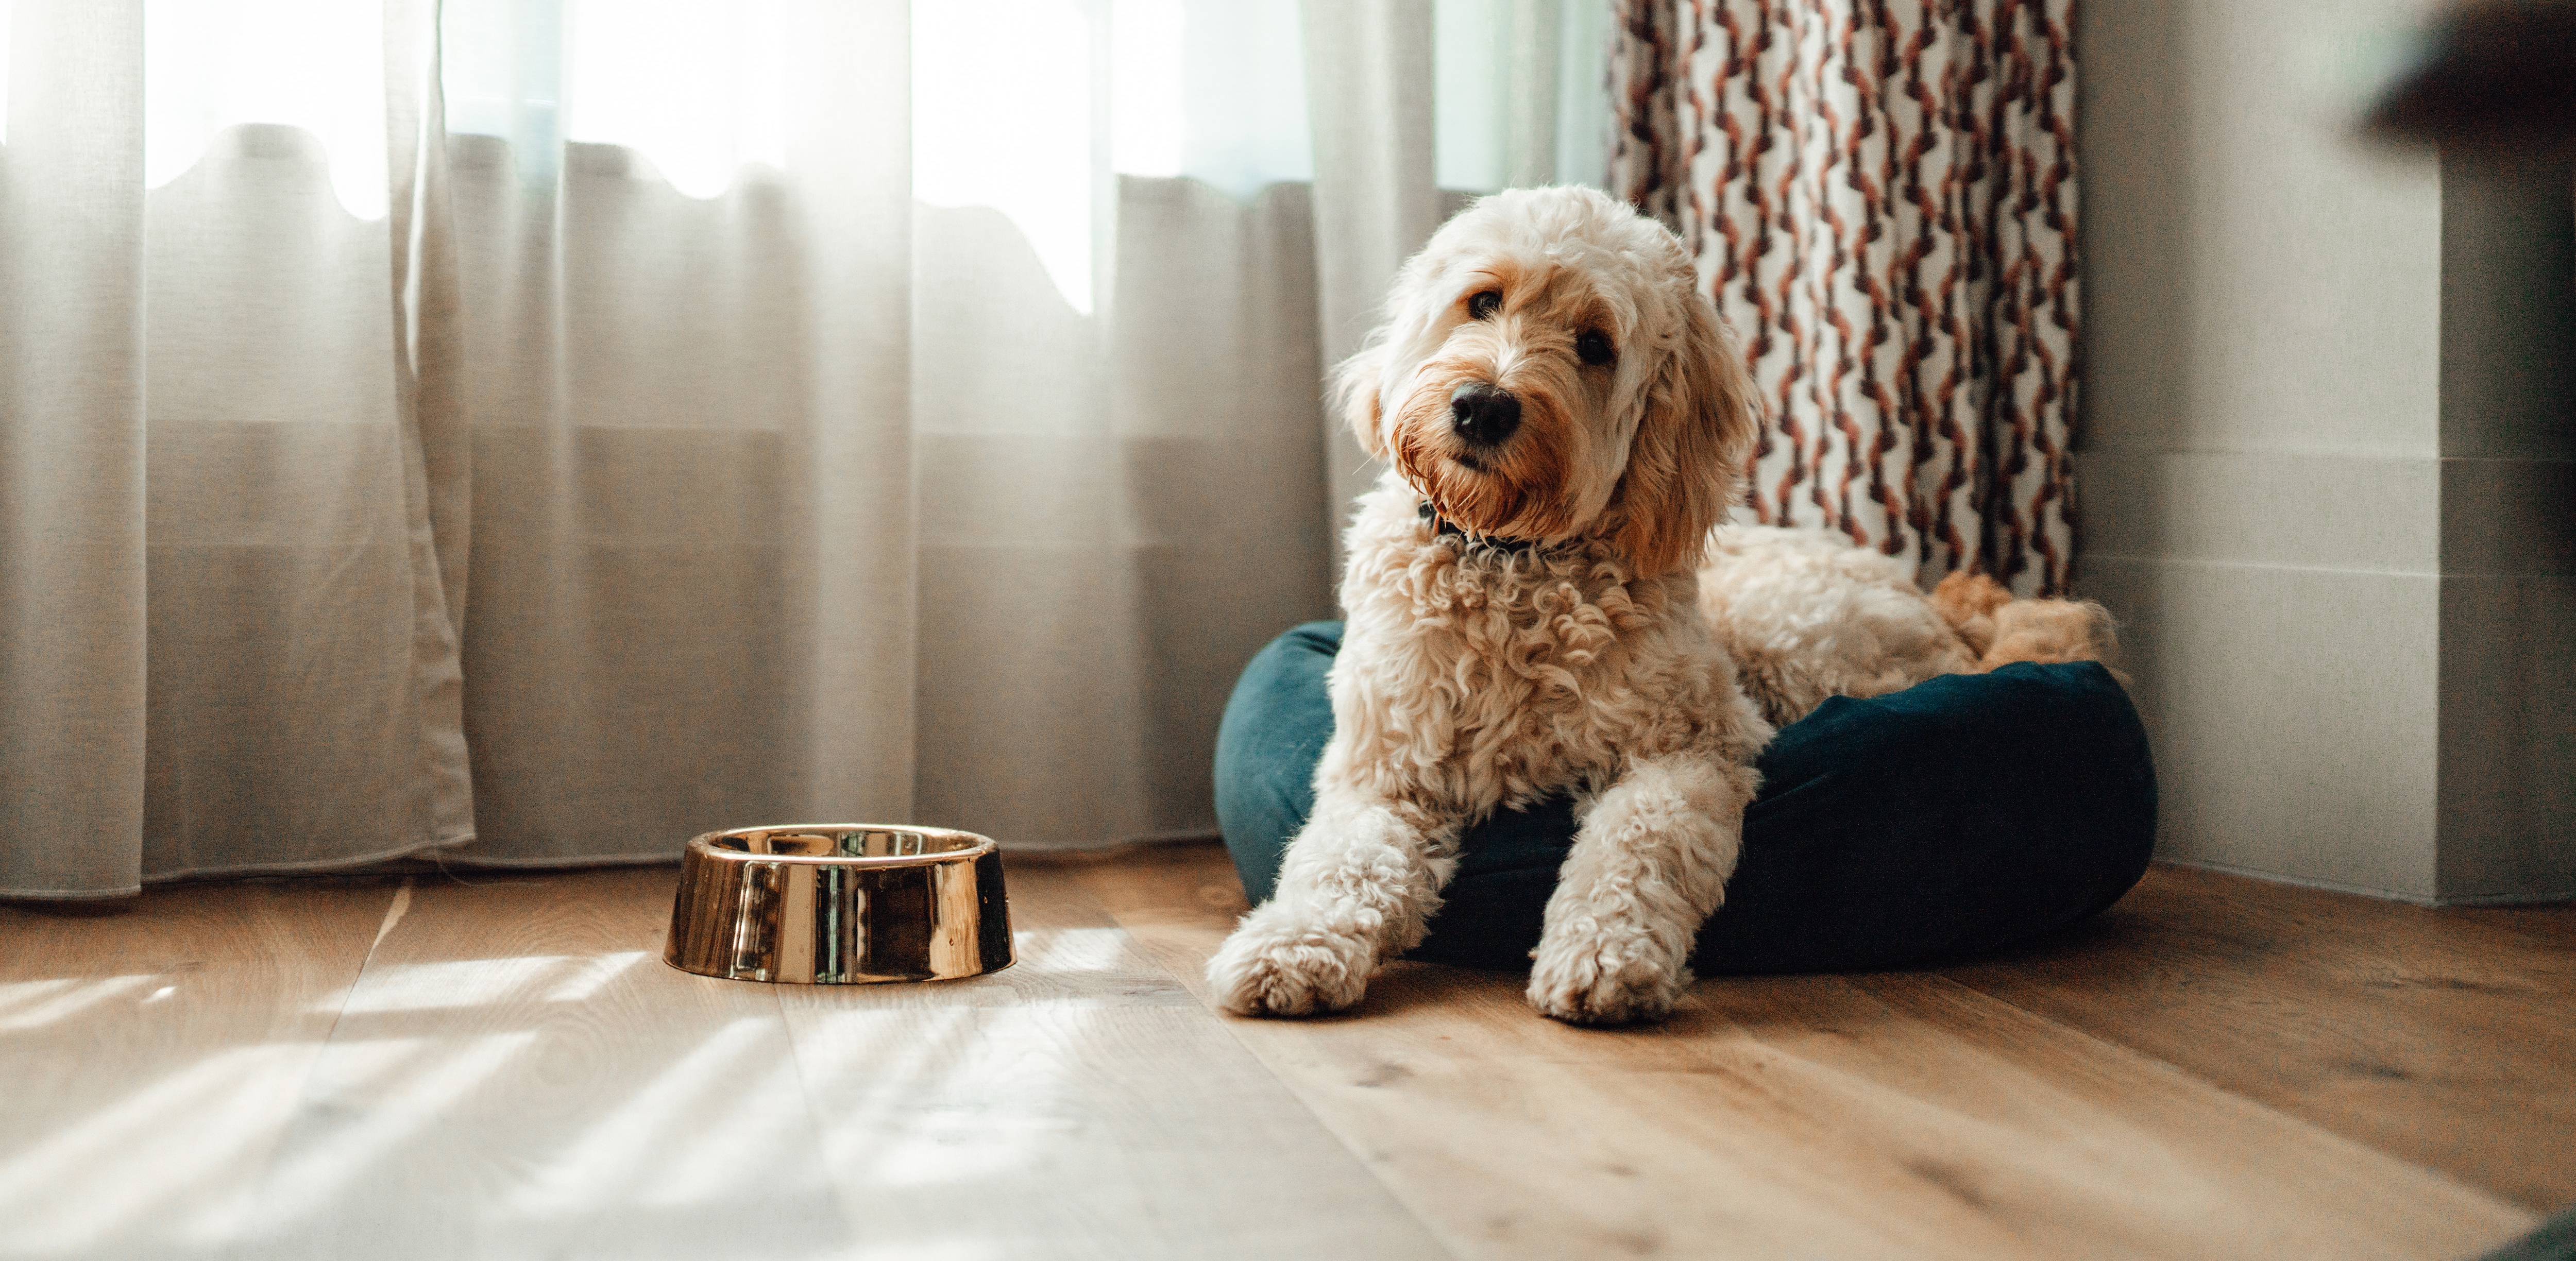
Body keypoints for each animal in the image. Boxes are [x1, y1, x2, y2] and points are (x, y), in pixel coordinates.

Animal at [1211, 189, 2112, 1034]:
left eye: (1595, 345)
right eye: (1483, 300)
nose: (1483, 407)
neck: (1512, 564)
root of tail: (1948, 613)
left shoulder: (1691, 749)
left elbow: (1635, 847)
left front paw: (1605, 956)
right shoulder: (1383, 771)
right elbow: (1339, 862)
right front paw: (1291, 943)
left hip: (1794, 637)